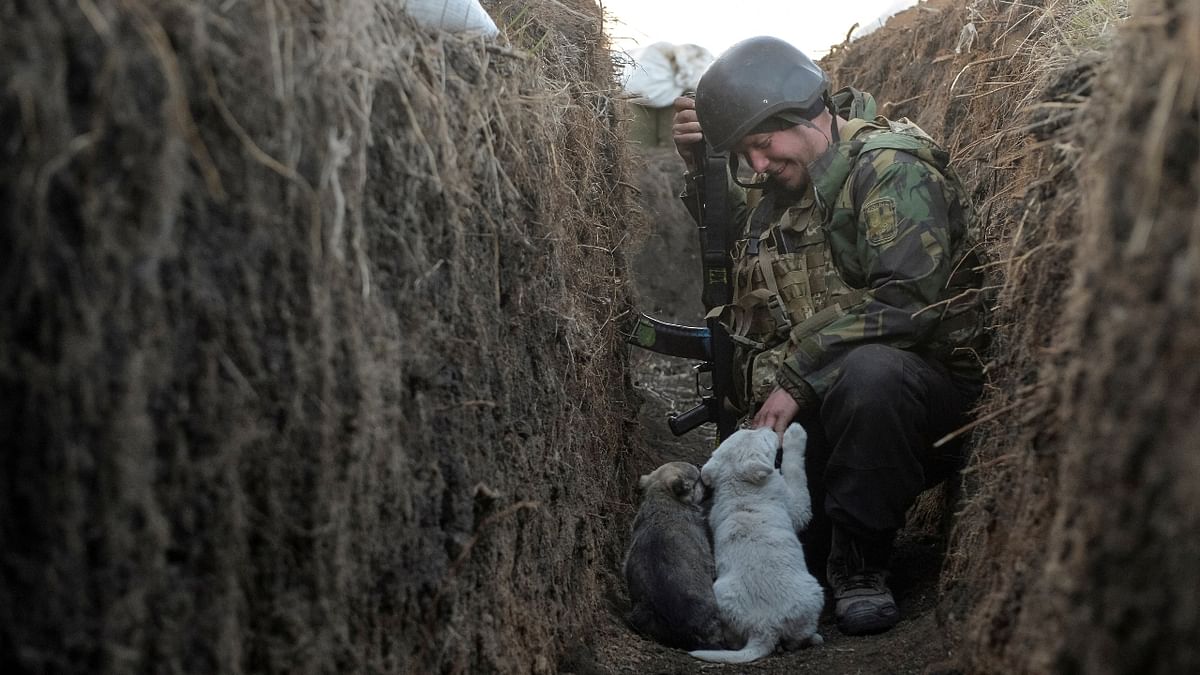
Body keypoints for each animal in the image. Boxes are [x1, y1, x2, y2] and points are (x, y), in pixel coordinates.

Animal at [691, 422, 820, 658]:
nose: (768, 426)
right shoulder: (796, 505)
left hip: (722, 595)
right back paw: (814, 637)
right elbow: (794, 470)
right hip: (812, 592)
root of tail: (765, 628)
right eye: (765, 438)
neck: (740, 487)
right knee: (797, 638)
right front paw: (795, 433)